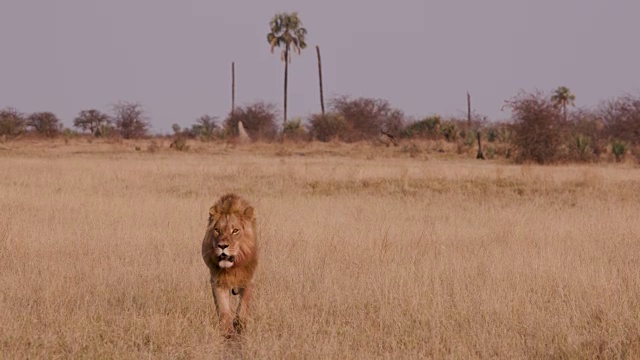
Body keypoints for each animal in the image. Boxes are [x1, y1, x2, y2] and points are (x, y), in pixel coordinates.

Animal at [201, 193, 258, 336]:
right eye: (217, 230)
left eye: (235, 230)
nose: (222, 246)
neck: (233, 267)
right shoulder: (218, 281)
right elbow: (223, 309)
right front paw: (228, 332)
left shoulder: (248, 280)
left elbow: (243, 306)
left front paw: (239, 326)